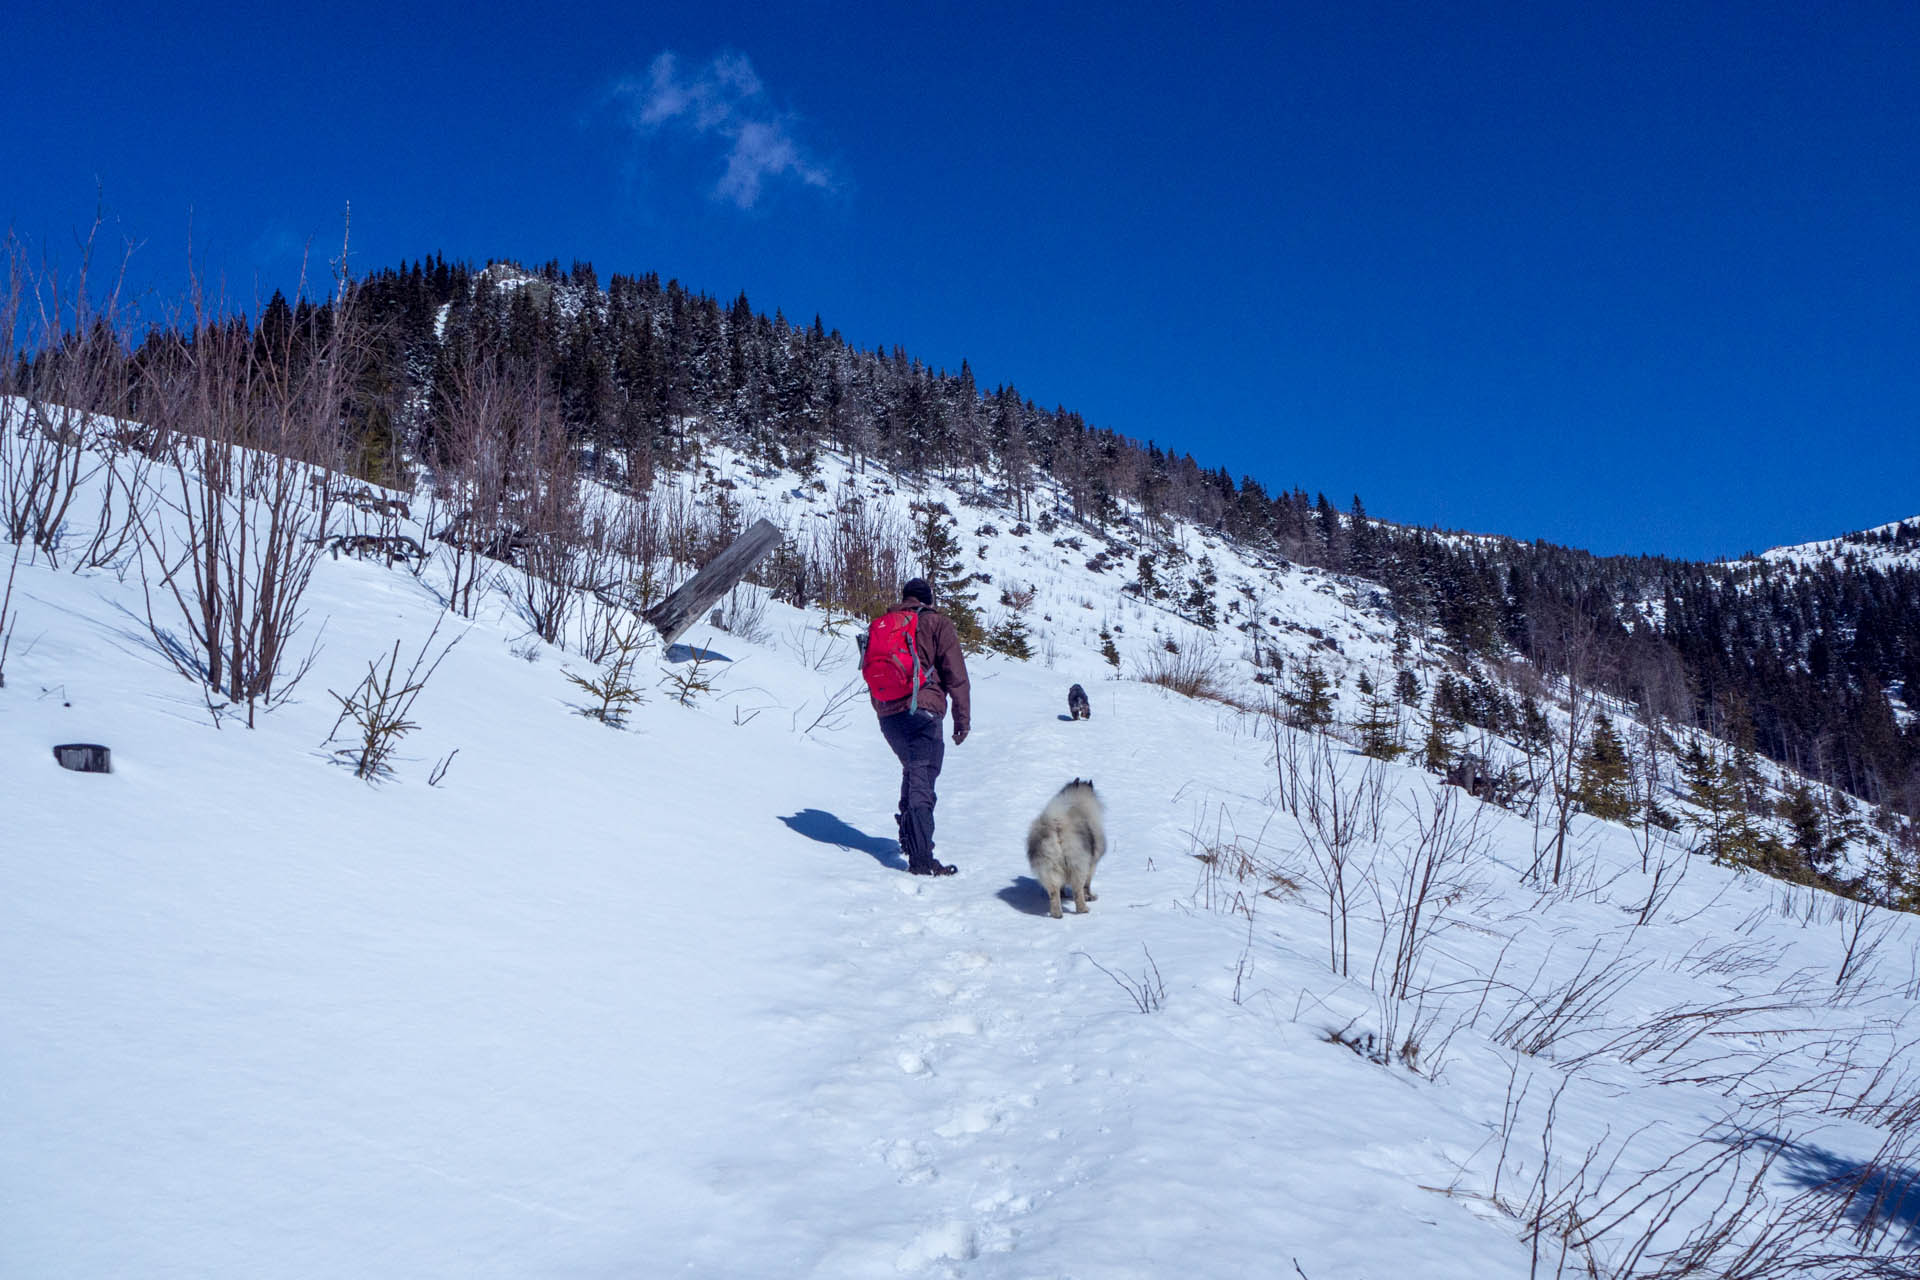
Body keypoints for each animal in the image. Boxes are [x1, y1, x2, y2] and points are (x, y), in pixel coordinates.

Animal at [1029, 782, 1105, 921]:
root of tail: (1057, 825)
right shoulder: (1092, 864)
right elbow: (1087, 885)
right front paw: (1090, 897)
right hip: (1078, 865)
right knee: (1078, 890)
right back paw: (1083, 909)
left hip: (1048, 867)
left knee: (1054, 892)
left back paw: (1057, 914)